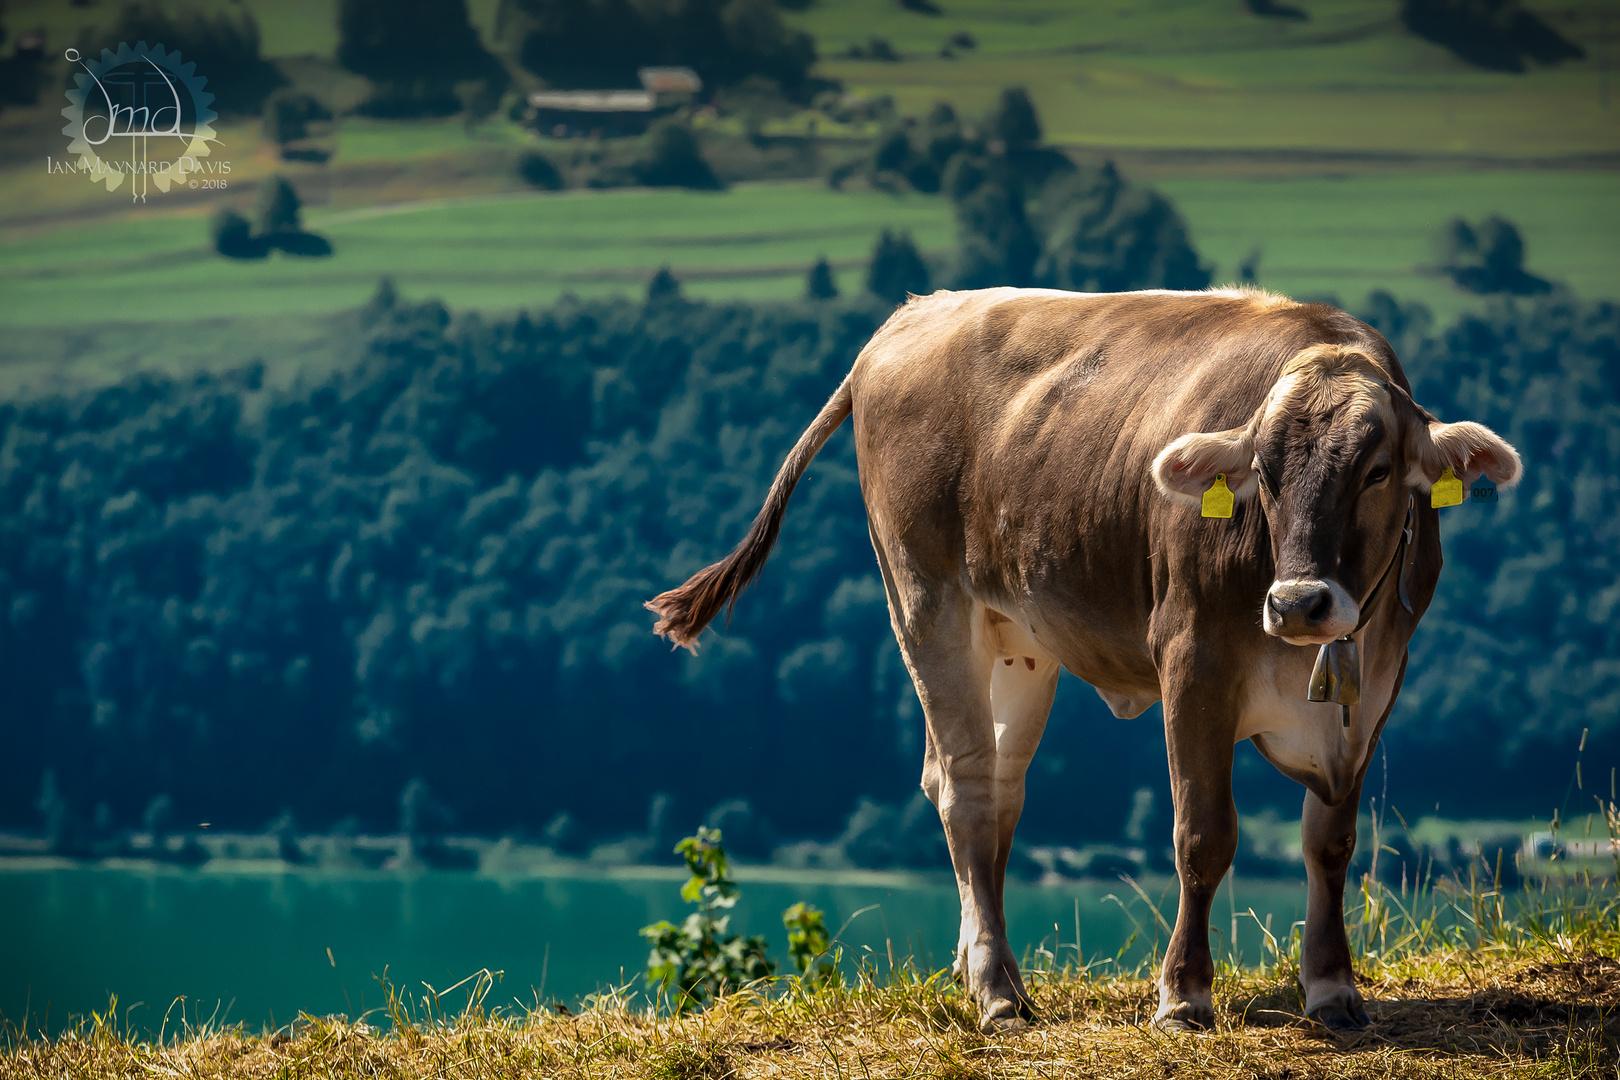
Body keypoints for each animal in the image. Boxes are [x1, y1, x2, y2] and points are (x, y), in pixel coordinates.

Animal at [641, 291, 1516, 1036]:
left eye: (1377, 471)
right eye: (1263, 475)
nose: (1299, 602)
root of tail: (910, 317)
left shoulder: (1376, 684)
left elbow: (1330, 844)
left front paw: (1333, 990)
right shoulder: (1191, 660)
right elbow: (1203, 835)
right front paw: (1183, 995)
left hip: (1019, 638)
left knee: (995, 786)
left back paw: (975, 963)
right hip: (926, 602)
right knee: (964, 786)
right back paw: (997, 993)